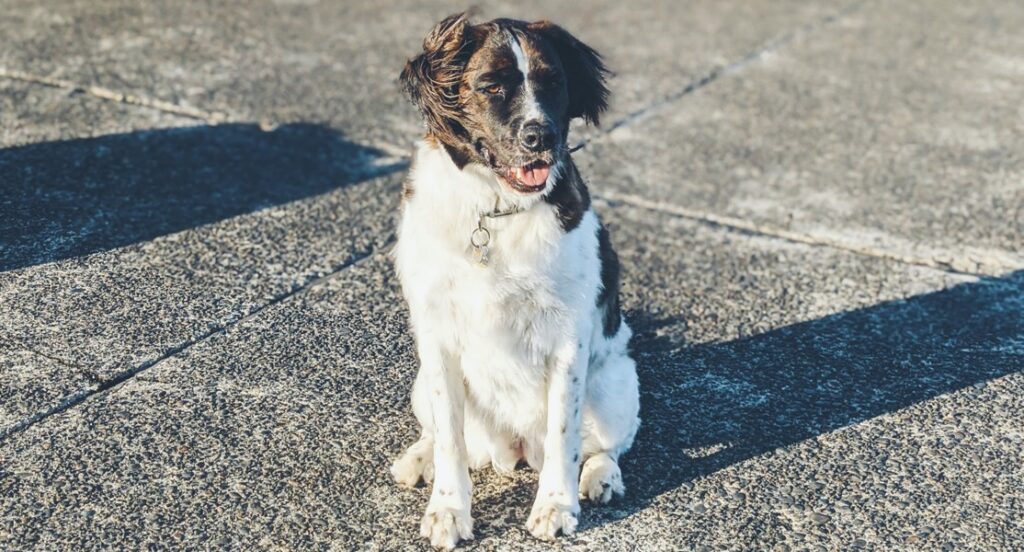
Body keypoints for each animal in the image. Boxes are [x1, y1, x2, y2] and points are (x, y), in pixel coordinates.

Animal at [389, 11, 638, 548]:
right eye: (491, 86)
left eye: (553, 82)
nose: (539, 136)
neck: (496, 211)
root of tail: (515, 448)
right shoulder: (437, 337)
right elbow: (450, 439)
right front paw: (448, 508)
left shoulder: (568, 339)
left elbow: (565, 433)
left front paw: (556, 504)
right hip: (420, 382)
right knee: (439, 432)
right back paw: (418, 457)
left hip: (615, 387)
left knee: (607, 446)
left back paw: (601, 477)